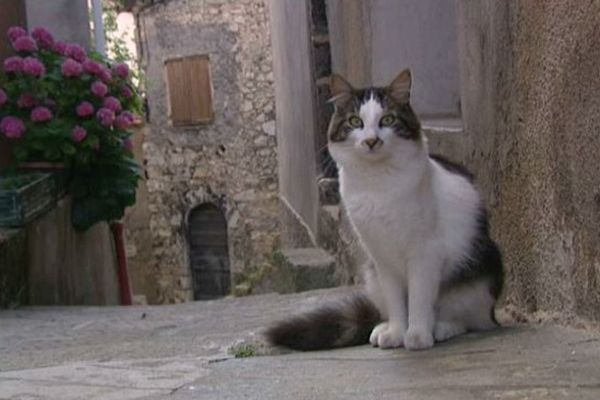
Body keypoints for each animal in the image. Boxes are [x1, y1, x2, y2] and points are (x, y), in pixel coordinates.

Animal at [264, 69, 504, 350]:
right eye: (355, 121)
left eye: (387, 120)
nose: (371, 141)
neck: (377, 182)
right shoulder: (381, 256)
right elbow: (397, 303)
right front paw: (397, 333)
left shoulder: (424, 252)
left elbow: (419, 300)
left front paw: (417, 335)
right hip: (371, 276)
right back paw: (382, 328)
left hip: (478, 276)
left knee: (469, 320)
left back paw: (441, 328)